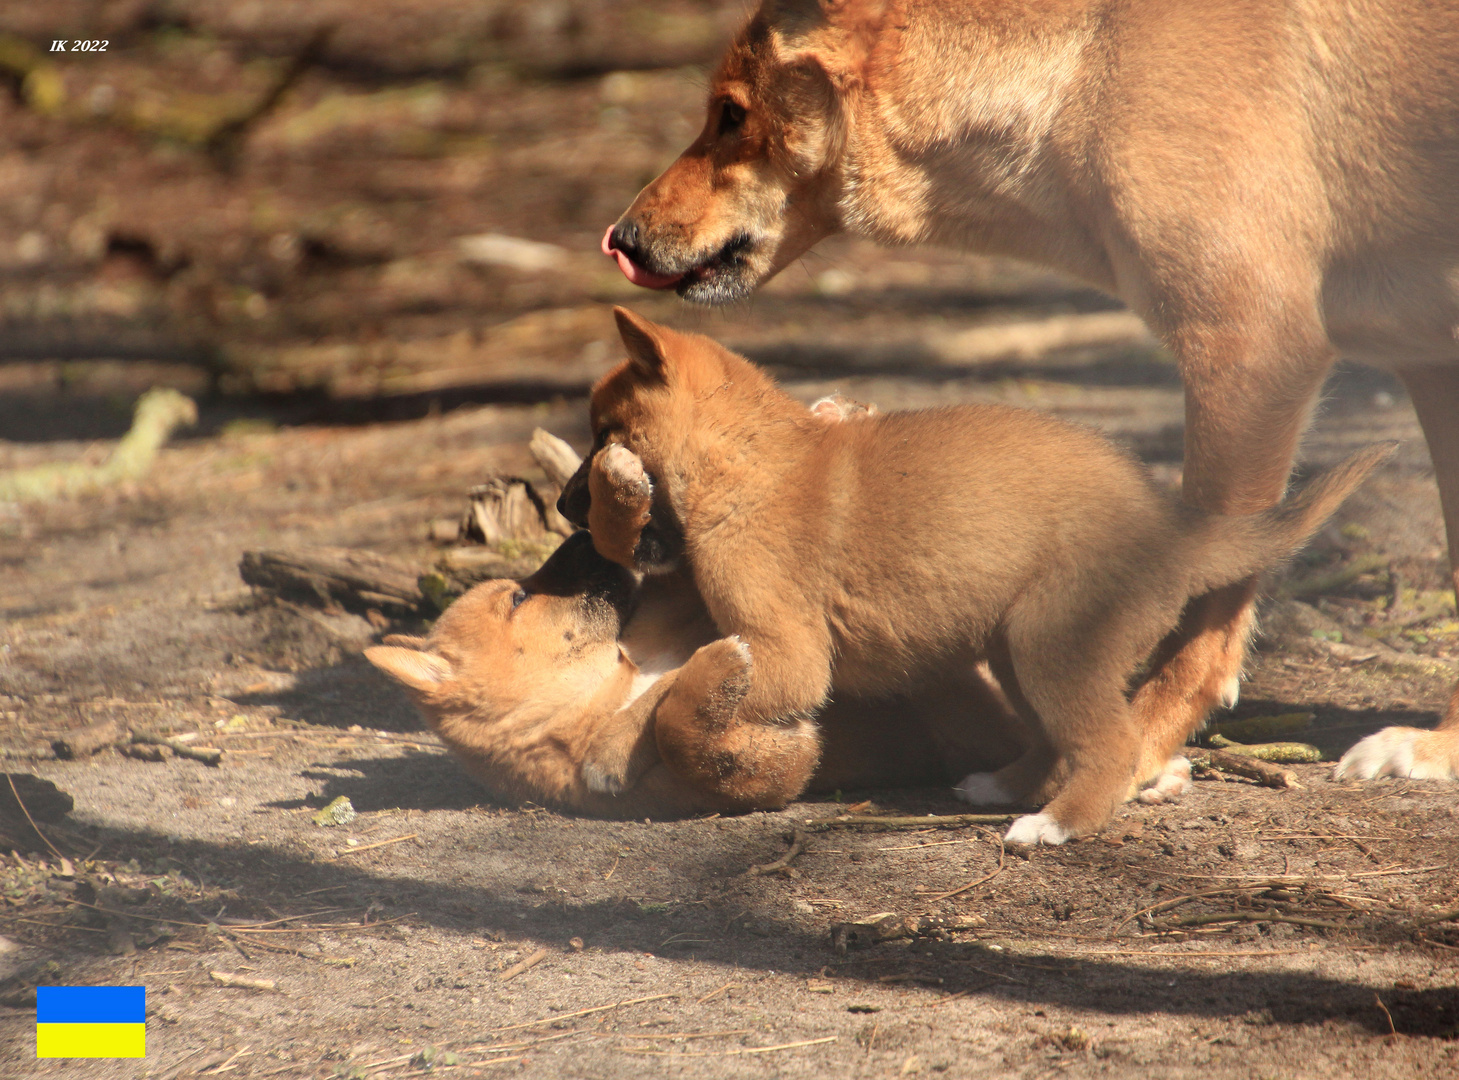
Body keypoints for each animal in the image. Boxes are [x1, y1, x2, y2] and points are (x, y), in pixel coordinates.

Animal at [370, 405, 1021, 817]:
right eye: (519, 598)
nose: (581, 539)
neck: (613, 682)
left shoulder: (678, 609)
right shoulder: (766, 772)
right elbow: (676, 726)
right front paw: (719, 669)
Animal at [557, 307, 1388, 846]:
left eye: (604, 436)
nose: (567, 509)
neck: (746, 462)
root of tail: (1174, 526)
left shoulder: (789, 658)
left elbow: (675, 691)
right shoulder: (740, 642)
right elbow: (661, 689)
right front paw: (607, 749)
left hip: (1052, 644)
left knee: (1111, 744)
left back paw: (1053, 826)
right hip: (1016, 648)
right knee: (1055, 738)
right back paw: (1004, 785)